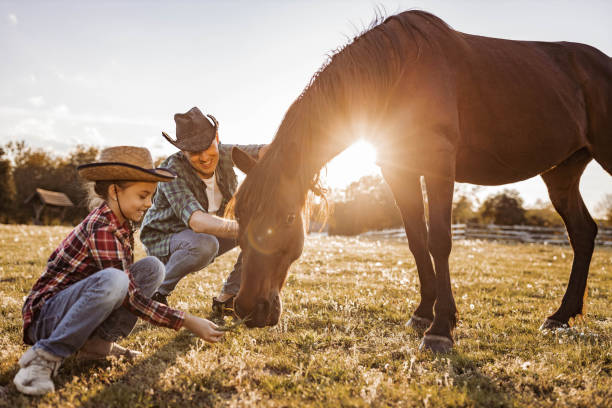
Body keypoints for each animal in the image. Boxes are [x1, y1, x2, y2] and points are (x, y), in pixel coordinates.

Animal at [230, 11, 612, 352]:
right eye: (240, 217)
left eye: (288, 218)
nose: (248, 309)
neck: (398, 73)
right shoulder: (397, 170)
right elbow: (416, 240)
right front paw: (424, 314)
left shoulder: (438, 165)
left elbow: (439, 240)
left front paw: (441, 329)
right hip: (561, 175)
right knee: (583, 233)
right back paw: (560, 316)